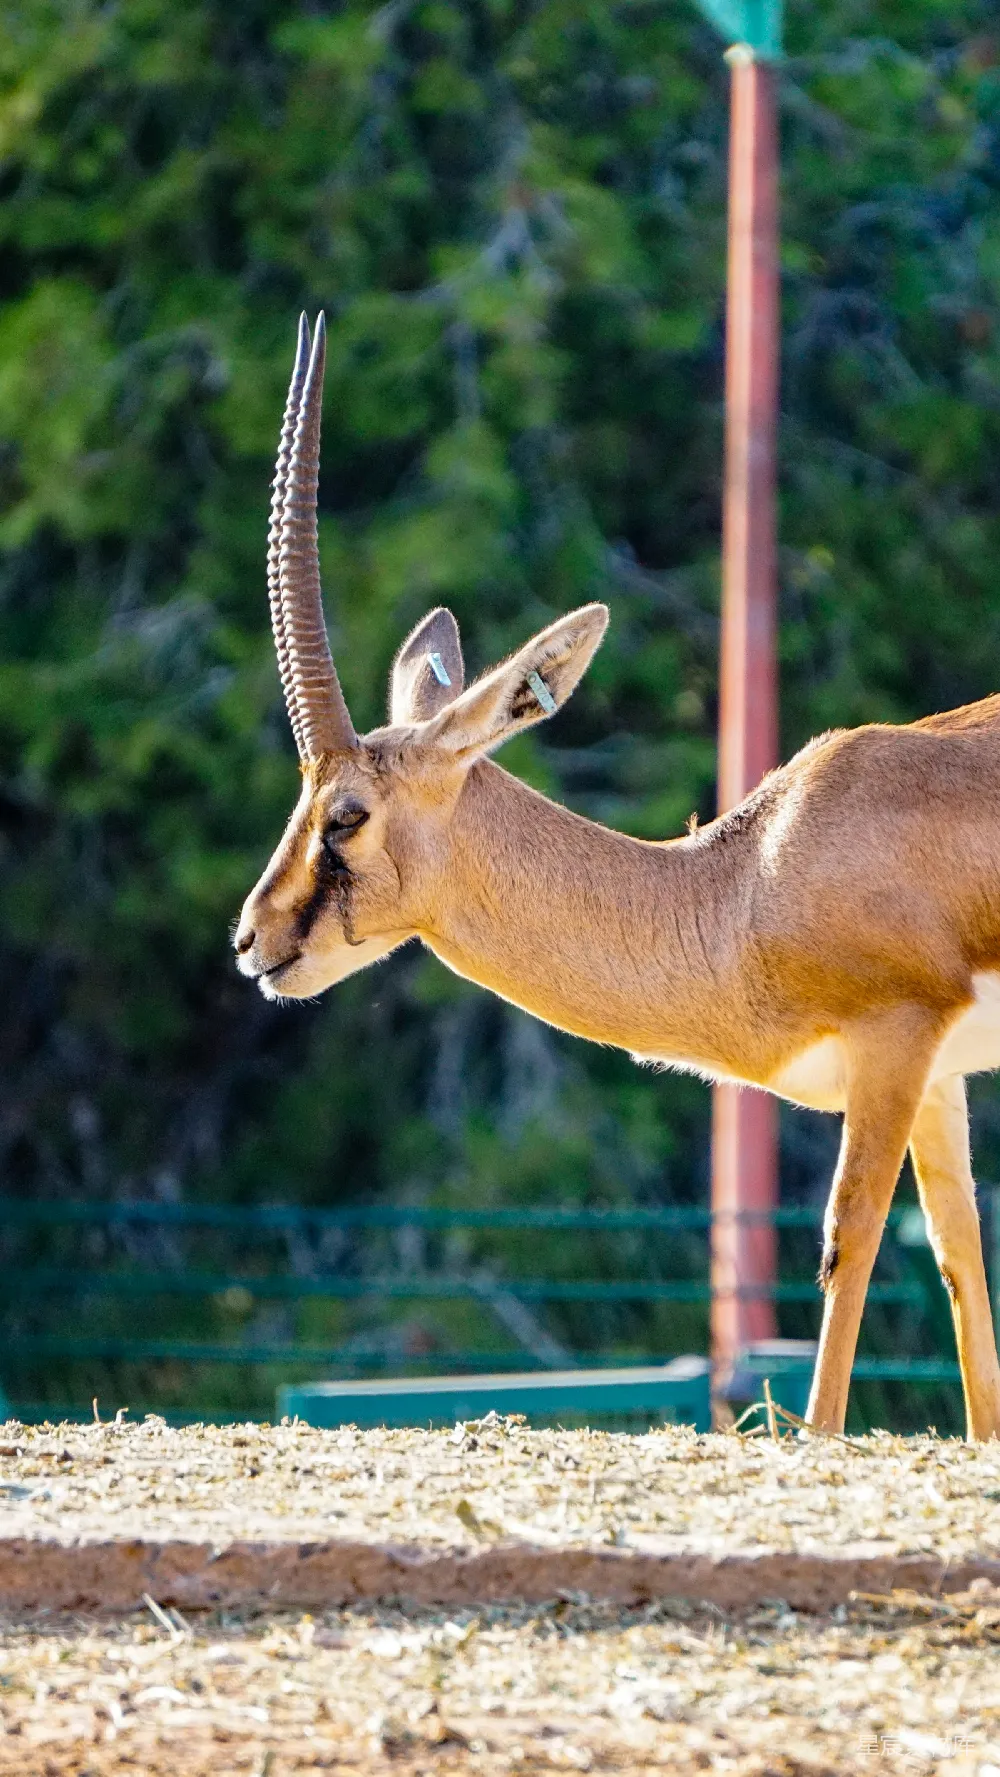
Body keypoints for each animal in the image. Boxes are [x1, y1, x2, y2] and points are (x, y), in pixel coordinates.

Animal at [235, 312, 1000, 1442]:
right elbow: (957, 1260)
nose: (253, 940)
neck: (744, 882)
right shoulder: (940, 1073)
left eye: (346, 814)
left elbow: (846, 1235)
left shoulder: (895, 1040)